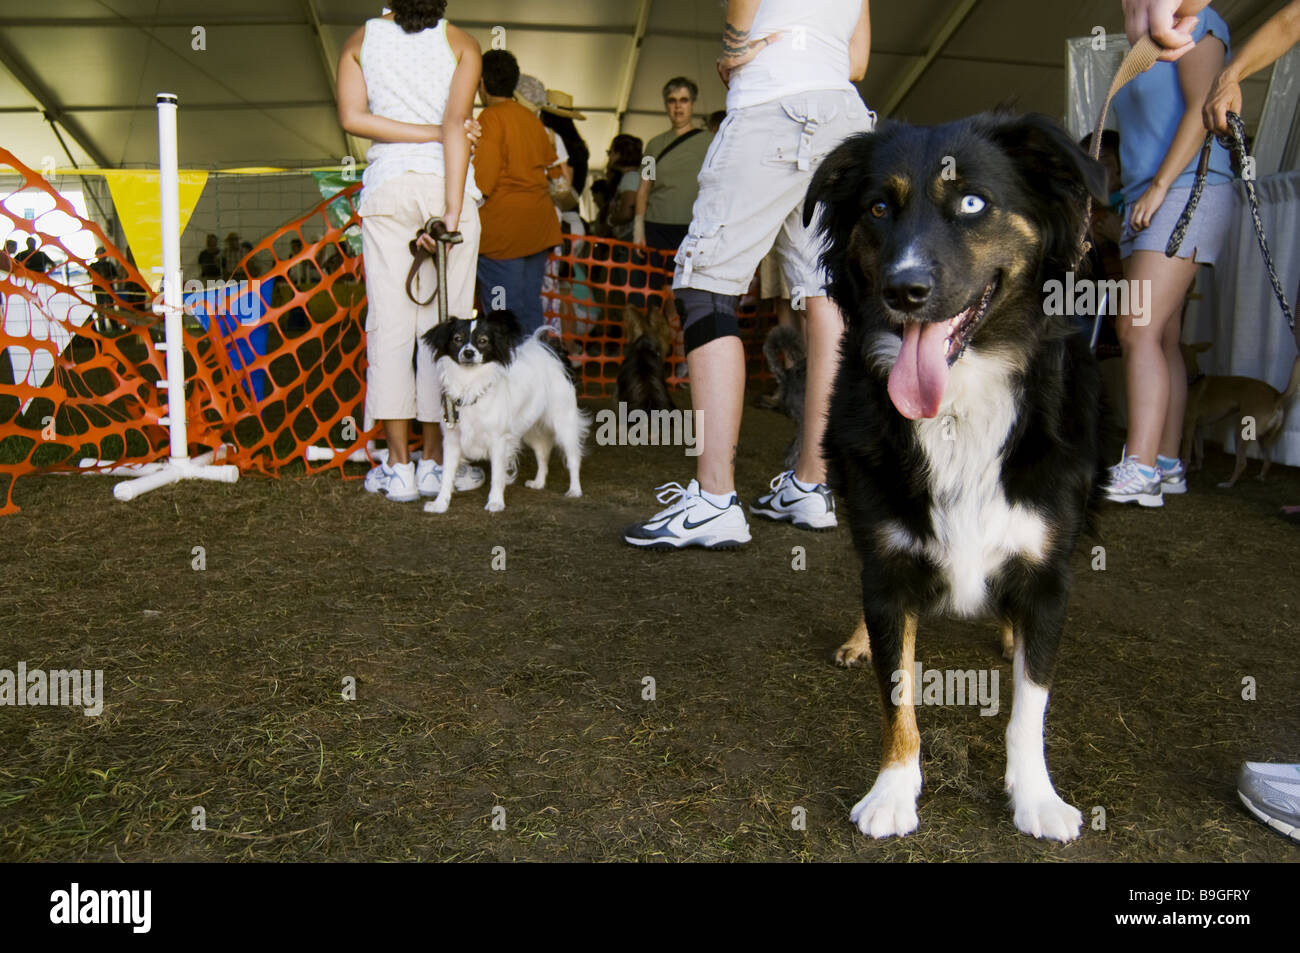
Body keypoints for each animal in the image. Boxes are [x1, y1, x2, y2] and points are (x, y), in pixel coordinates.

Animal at [421, 312, 590, 509]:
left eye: (483, 341)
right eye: (457, 339)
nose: (468, 352)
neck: (469, 382)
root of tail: (550, 358)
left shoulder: (498, 441)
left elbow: (497, 475)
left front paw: (495, 502)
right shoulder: (451, 440)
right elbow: (447, 475)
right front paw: (440, 503)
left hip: (564, 425)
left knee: (573, 459)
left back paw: (575, 490)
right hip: (531, 429)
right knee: (543, 454)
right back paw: (539, 483)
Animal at [811, 109, 1107, 842]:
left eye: (972, 203)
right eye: (879, 208)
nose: (903, 291)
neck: (959, 403)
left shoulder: (1047, 572)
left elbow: (1030, 704)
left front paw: (1036, 797)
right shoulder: (888, 560)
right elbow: (898, 691)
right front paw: (893, 789)